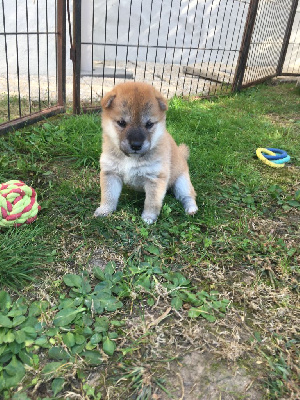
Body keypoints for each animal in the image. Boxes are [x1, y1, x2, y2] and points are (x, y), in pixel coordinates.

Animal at [94, 82, 197, 223]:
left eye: (149, 124)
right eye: (121, 123)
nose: (136, 145)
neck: (131, 158)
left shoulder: (155, 178)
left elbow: (152, 202)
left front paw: (149, 217)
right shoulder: (110, 173)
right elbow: (108, 196)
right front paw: (105, 210)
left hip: (182, 182)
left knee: (188, 195)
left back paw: (191, 209)